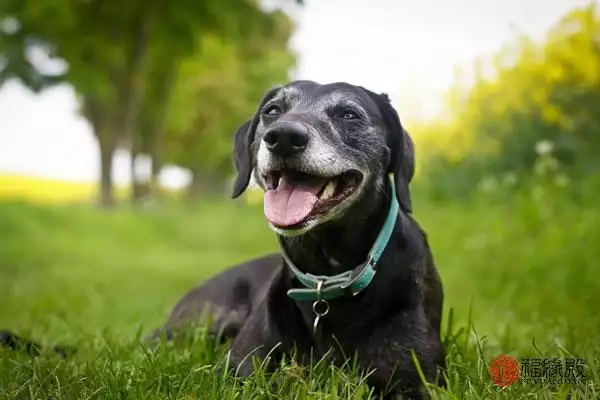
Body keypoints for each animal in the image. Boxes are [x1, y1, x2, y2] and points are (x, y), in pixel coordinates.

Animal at [1, 81, 446, 400]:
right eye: (272, 111)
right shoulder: (238, 372)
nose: (282, 137)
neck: (326, 276)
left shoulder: (412, 380)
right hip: (197, 325)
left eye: (350, 114)